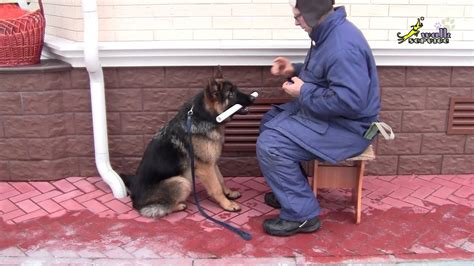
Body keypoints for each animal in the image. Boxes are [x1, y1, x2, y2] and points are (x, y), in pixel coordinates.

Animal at [121, 68, 256, 218]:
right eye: (230, 93)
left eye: (236, 89)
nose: (253, 98)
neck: (205, 116)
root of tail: (134, 198)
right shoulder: (205, 167)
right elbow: (216, 187)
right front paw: (227, 204)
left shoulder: (211, 162)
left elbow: (221, 179)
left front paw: (229, 193)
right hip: (182, 182)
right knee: (155, 208)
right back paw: (179, 205)